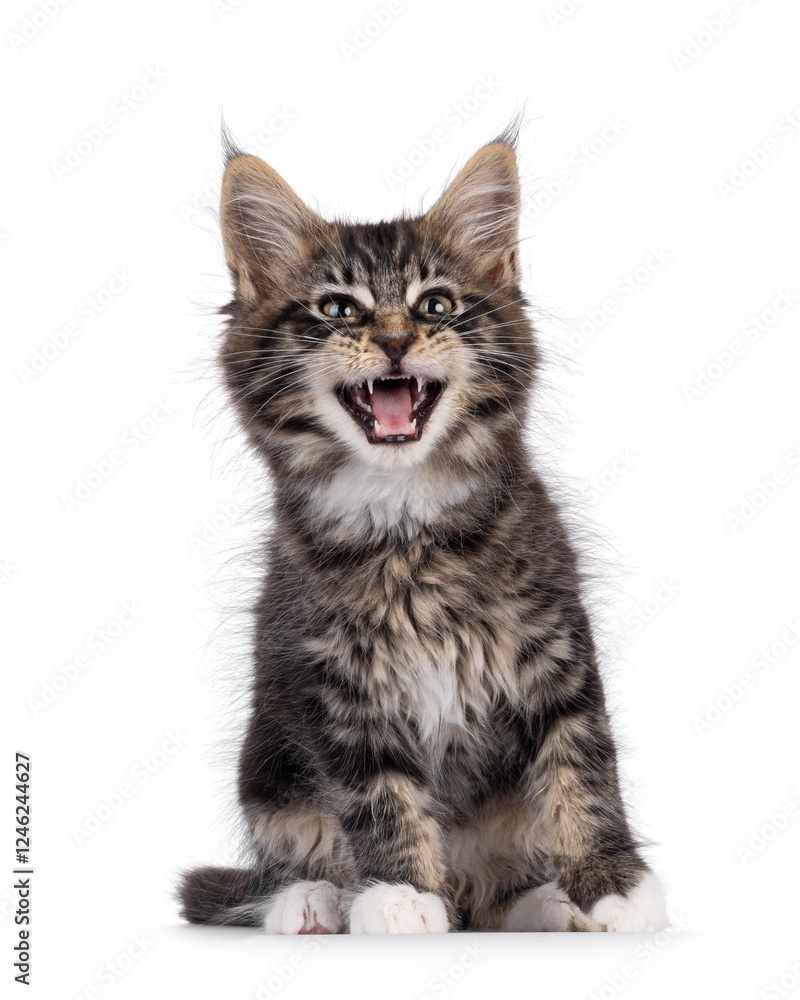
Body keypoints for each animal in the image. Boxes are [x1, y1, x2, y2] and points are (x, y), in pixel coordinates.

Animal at [178, 129, 664, 932]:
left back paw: (552, 903)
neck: (407, 522)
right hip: (270, 777)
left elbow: (582, 771)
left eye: (436, 304)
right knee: (285, 866)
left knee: (498, 896)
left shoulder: (555, 649)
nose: (398, 340)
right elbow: (380, 797)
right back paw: (315, 904)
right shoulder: (336, 682)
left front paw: (614, 887)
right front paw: (402, 895)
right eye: (338, 309)